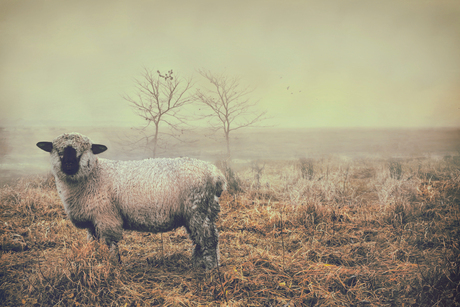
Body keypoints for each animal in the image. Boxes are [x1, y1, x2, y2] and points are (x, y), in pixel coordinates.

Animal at [35, 132, 226, 270]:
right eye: (58, 151)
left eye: (82, 152)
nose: (68, 165)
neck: (94, 175)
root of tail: (216, 174)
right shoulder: (92, 221)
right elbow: (93, 244)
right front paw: (94, 261)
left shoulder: (106, 218)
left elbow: (110, 244)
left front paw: (113, 266)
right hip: (196, 213)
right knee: (199, 240)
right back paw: (198, 266)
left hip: (199, 210)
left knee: (209, 239)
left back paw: (211, 269)